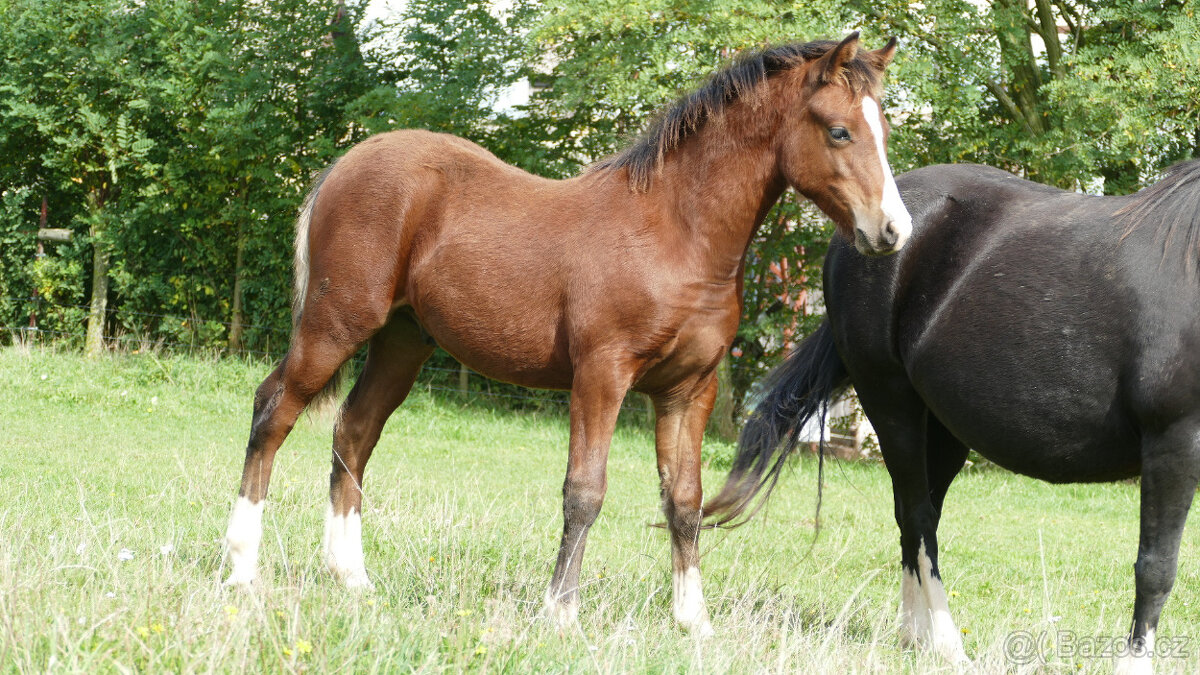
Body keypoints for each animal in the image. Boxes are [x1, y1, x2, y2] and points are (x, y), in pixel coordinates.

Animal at [221, 33, 912, 636]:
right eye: (840, 130)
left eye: (884, 130)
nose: (892, 231)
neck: (676, 233)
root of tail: (346, 161)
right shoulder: (602, 374)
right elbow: (585, 491)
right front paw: (561, 613)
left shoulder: (690, 391)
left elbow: (685, 499)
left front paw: (694, 620)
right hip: (335, 325)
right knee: (272, 411)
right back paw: (240, 569)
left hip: (401, 342)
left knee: (354, 430)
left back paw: (352, 578)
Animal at [705, 160, 1200, 669]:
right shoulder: (1174, 441)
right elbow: (1156, 567)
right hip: (890, 401)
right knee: (919, 518)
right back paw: (946, 644)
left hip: (940, 428)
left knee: (912, 515)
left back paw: (913, 637)